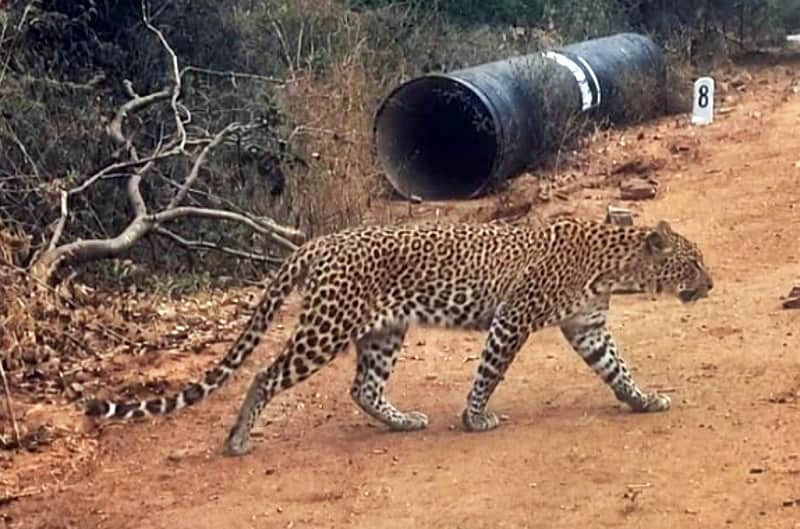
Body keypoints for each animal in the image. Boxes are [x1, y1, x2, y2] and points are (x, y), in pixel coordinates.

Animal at [86, 216, 713, 457]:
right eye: (693, 261)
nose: (711, 282)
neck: (615, 267)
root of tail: (318, 243)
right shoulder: (513, 319)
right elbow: (489, 372)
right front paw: (475, 419)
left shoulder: (587, 327)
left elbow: (617, 369)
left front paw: (644, 400)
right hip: (327, 328)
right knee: (266, 373)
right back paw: (238, 439)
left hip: (384, 331)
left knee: (363, 388)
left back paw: (404, 421)